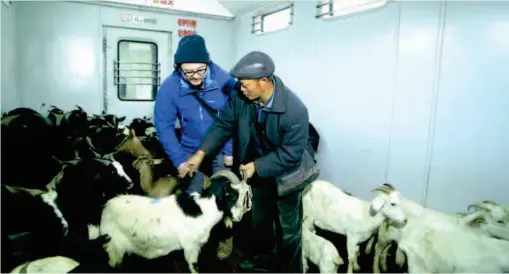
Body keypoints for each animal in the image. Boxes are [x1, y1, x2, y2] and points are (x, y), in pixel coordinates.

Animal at [93, 169, 252, 272]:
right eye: (232, 195)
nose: (239, 217)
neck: (204, 209)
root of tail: (106, 208)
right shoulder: (190, 246)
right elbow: (193, 267)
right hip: (113, 246)